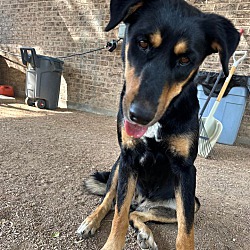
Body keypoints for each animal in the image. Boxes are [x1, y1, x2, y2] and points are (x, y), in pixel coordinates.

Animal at [76, 0, 240, 250]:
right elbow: (118, 215)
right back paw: (91, 221)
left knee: (138, 213)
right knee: (110, 202)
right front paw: (112, 244)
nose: (139, 117)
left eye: (185, 60)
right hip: (118, 167)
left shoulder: (186, 171)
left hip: (190, 201)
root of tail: (142, 199)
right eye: (142, 43)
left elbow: (186, 229)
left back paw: (144, 233)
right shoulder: (128, 158)